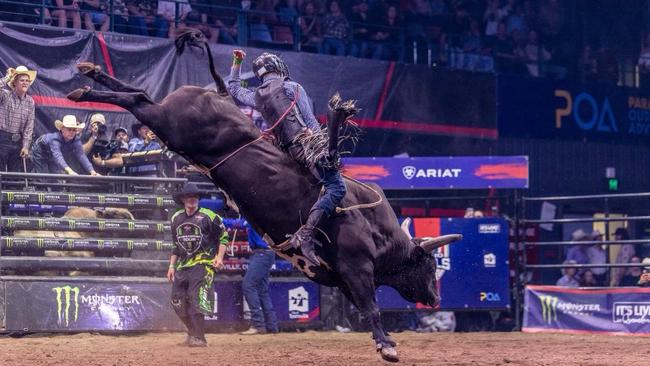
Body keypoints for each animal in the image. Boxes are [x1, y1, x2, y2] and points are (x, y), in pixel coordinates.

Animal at [67, 31, 456, 364]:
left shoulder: (342, 278)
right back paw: (84, 90)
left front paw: (383, 341)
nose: (436, 299)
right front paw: (388, 345)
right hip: (169, 124)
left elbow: (364, 307)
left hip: (167, 121)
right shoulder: (356, 267)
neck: (377, 229)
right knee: (138, 99)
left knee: (140, 93)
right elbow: (372, 307)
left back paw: (89, 75)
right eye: (429, 264)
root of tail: (211, 95)